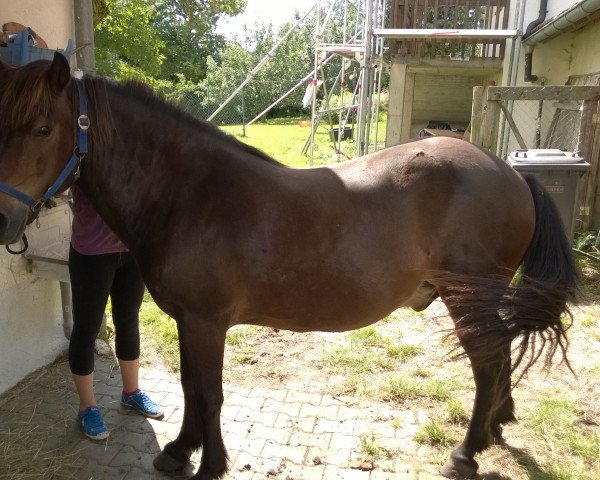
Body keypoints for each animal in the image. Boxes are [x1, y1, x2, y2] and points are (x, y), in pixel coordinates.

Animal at [0, 52, 580, 476]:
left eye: (43, 128)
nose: (3, 218)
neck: (189, 193)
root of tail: (510, 172)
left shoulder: (207, 322)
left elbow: (209, 393)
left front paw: (210, 464)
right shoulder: (190, 322)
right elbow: (190, 387)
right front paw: (179, 452)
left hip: (469, 298)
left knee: (487, 363)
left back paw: (466, 452)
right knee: (499, 358)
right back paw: (497, 428)